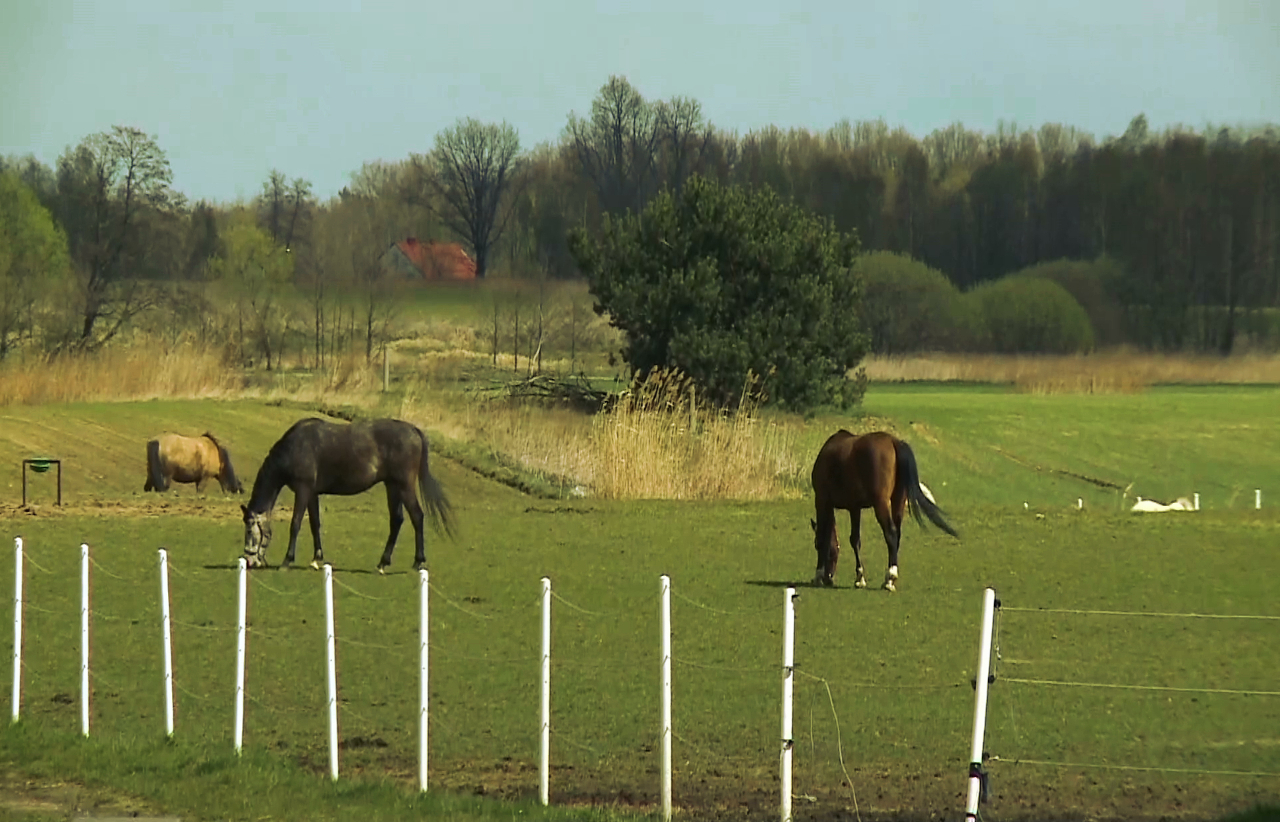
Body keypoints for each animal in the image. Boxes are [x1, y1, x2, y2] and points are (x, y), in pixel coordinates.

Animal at [241, 414, 458, 568]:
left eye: (250, 529)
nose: (249, 561)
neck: (295, 447)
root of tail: (414, 431)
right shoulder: (312, 493)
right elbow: (314, 523)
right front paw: (316, 558)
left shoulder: (303, 490)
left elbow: (295, 523)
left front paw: (287, 560)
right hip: (392, 486)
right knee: (397, 520)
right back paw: (383, 562)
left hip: (404, 486)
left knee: (417, 517)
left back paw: (418, 561)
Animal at [814, 430, 957, 588]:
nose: (829, 578)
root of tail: (894, 442)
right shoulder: (854, 508)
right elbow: (855, 540)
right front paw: (859, 578)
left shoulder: (822, 501)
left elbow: (823, 538)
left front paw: (818, 575)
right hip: (897, 501)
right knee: (897, 535)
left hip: (881, 504)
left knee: (891, 534)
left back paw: (890, 577)